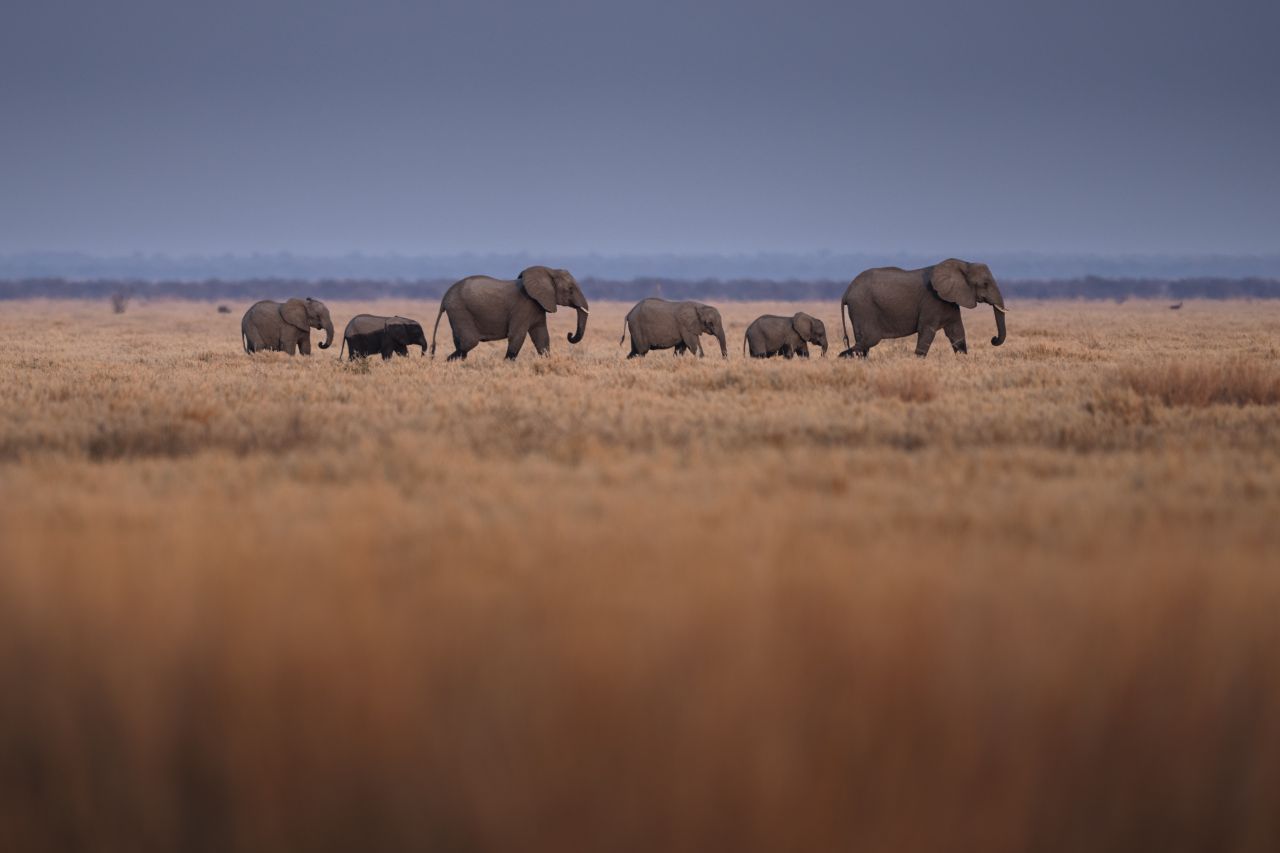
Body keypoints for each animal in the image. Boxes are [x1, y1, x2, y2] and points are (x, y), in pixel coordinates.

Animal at [430, 266, 588, 358]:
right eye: (570, 290)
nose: (569, 334)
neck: (549, 271)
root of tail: (444, 298)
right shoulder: (524, 306)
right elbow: (517, 336)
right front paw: (507, 364)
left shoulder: (538, 306)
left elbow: (542, 337)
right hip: (460, 310)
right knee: (469, 342)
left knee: (461, 344)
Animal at [839, 256, 1008, 356]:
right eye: (985, 284)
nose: (993, 339)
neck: (964, 264)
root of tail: (846, 291)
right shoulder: (932, 300)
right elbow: (927, 331)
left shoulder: (948, 300)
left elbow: (957, 333)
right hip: (863, 307)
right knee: (869, 338)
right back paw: (842, 357)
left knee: (864, 342)